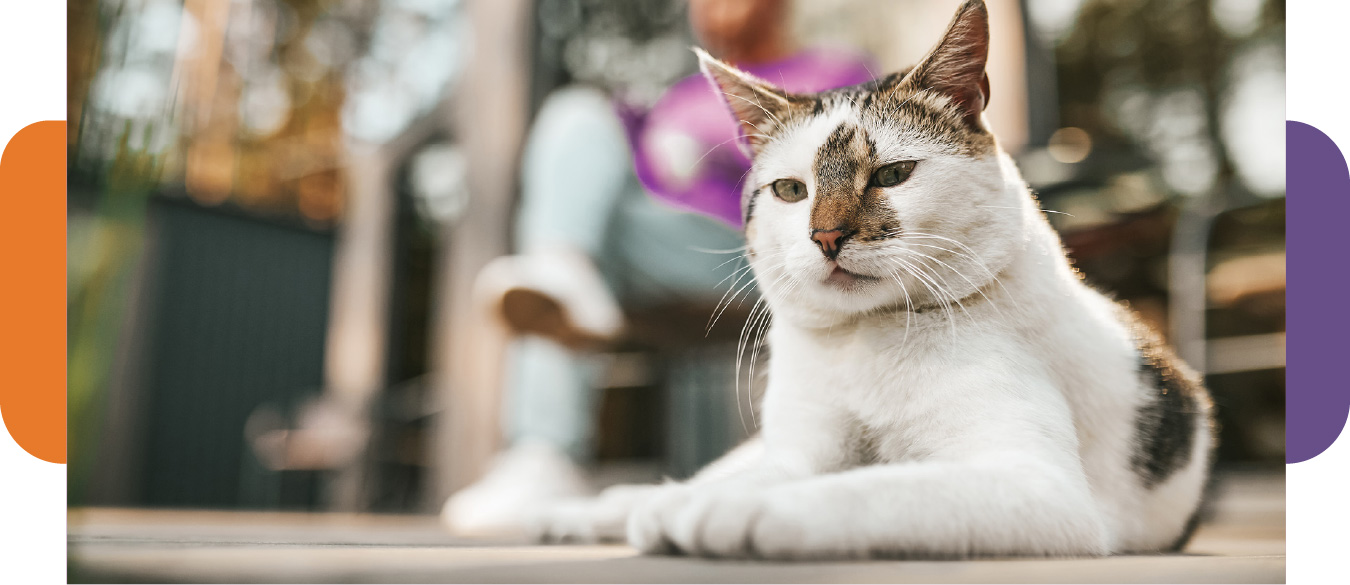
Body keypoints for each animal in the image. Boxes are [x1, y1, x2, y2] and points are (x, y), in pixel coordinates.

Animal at [531, 0, 1220, 556]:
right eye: (791, 191)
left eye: (891, 175)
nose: (827, 236)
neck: (863, 343)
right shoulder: (800, 445)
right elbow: (788, 469)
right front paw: (669, 505)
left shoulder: (1040, 486)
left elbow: (873, 485)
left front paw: (741, 512)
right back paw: (585, 511)